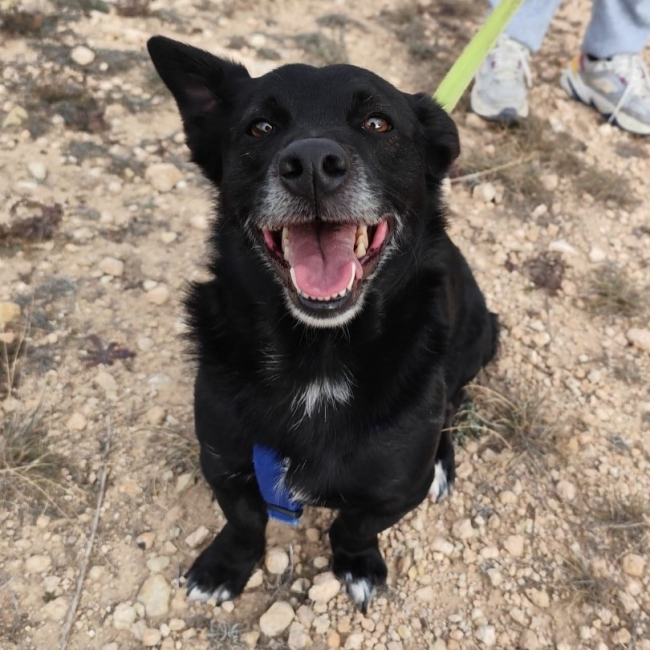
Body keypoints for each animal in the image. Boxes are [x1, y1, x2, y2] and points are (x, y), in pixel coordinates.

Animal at [147, 35, 499, 612]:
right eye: (259, 127)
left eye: (378, 123)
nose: (311, 162)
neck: (319, 351)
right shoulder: (223, 460)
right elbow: (245, 522)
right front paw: (224, 566)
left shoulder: (396, 489)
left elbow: (352, 526)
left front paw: (357, 564)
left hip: (478, 339)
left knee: (454, 400)